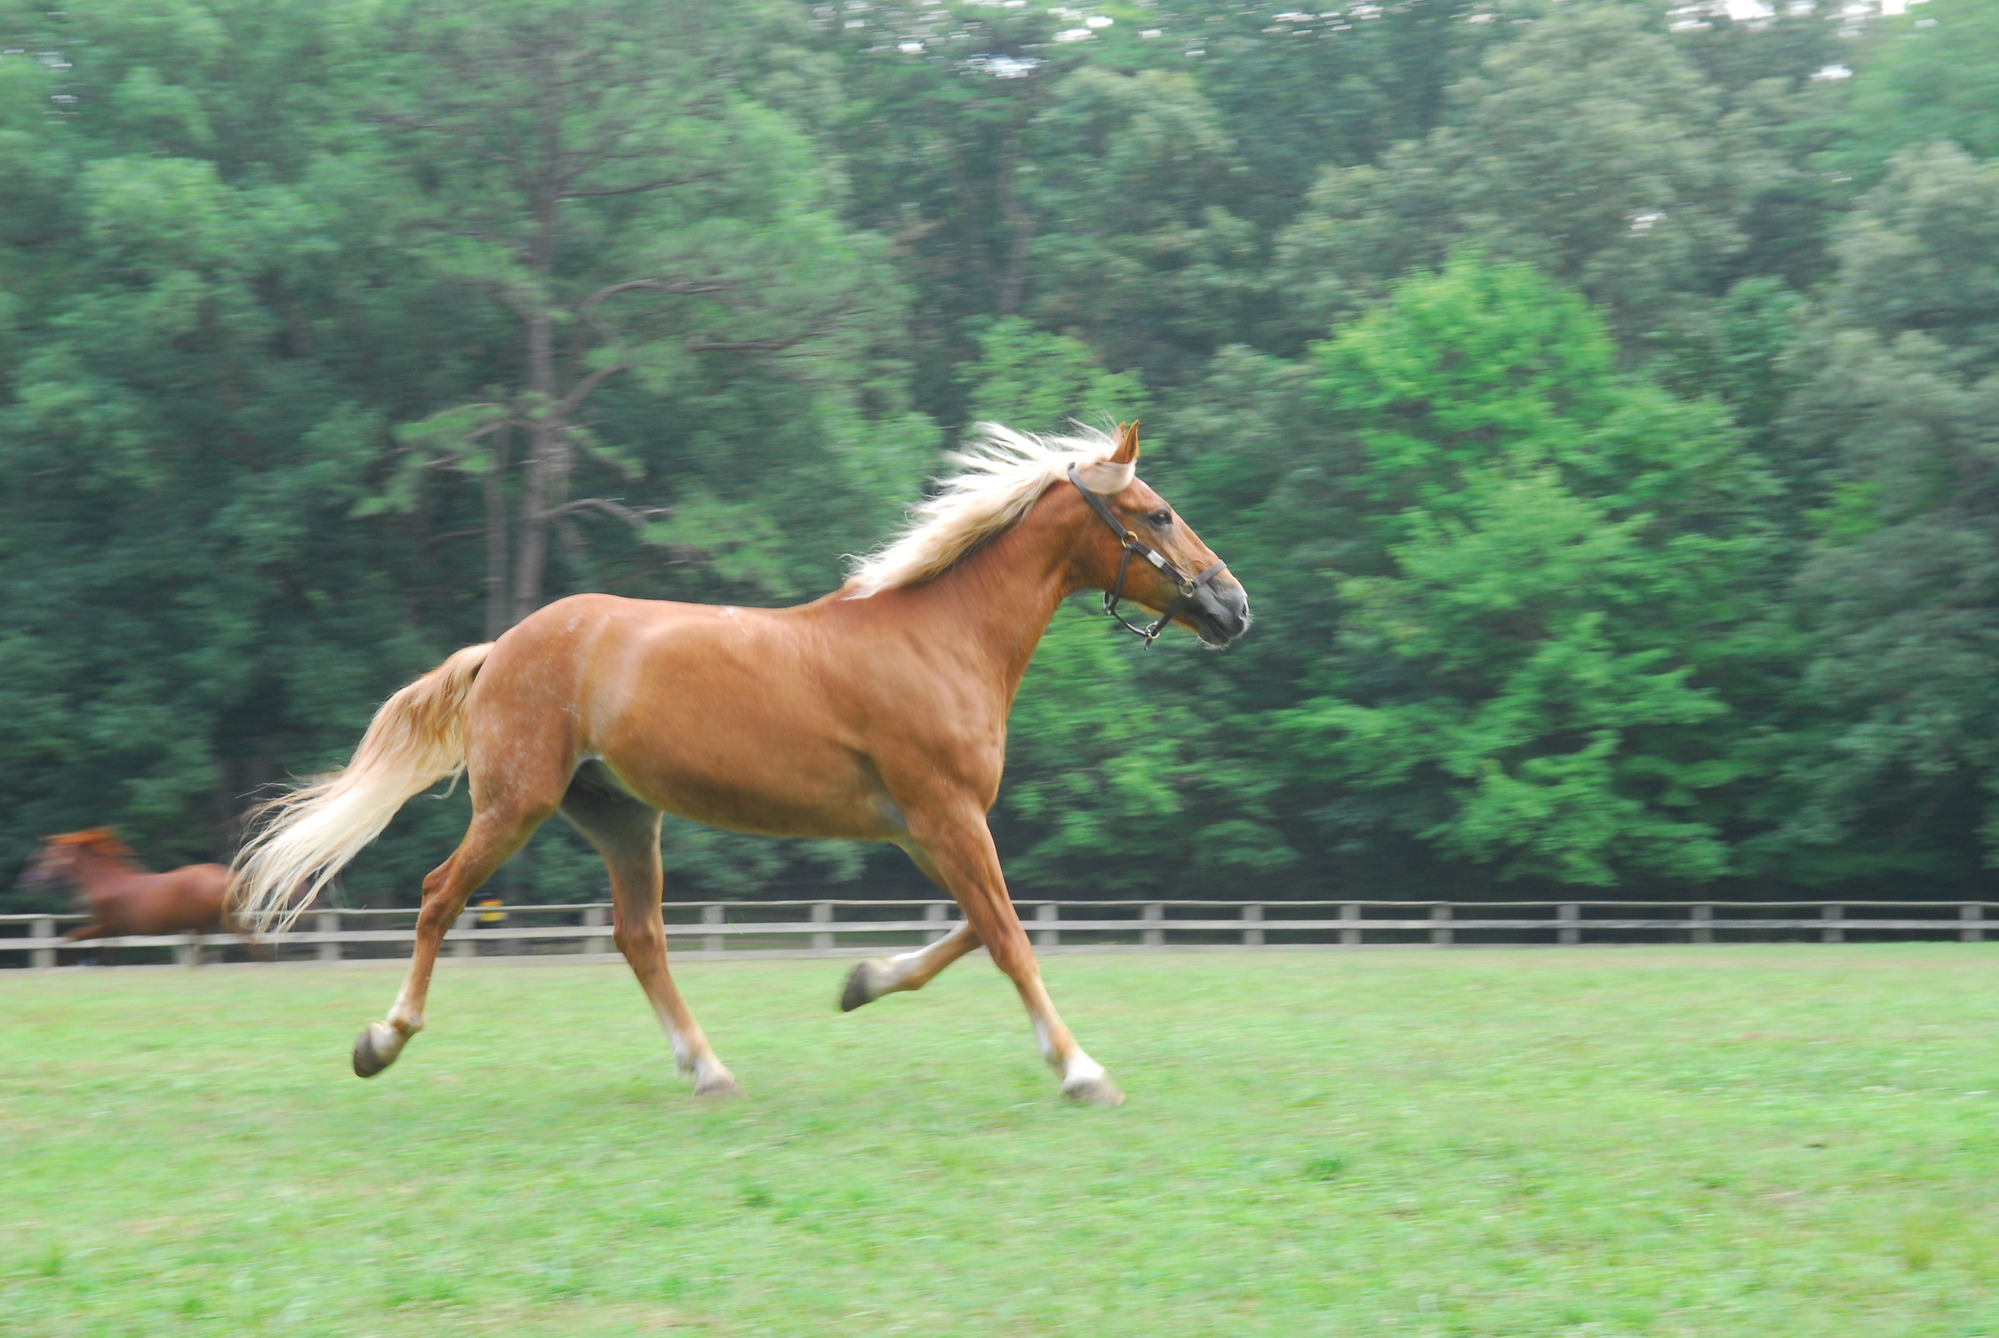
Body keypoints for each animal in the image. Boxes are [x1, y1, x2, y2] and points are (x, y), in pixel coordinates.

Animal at [18, 829, 250, 957]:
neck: (106, 882)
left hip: (221, 921)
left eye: (48, 858)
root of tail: (229, 876)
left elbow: (68, 939)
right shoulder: (110, 932)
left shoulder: (107, 926)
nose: (28, 882)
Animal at [231, 421, 1249, 1104]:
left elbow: (978, 928)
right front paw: (1080, 1068)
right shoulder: (947, 815)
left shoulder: (925, 828)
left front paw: (862, 981)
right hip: (516, 804)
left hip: (621, 816)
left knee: (638, 937)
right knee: (441, 896)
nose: (1232, 606)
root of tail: (502, 647)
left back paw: (708, 1069)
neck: (940, 639)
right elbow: (1006, 937)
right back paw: (384, 1039)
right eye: (1156, 512)